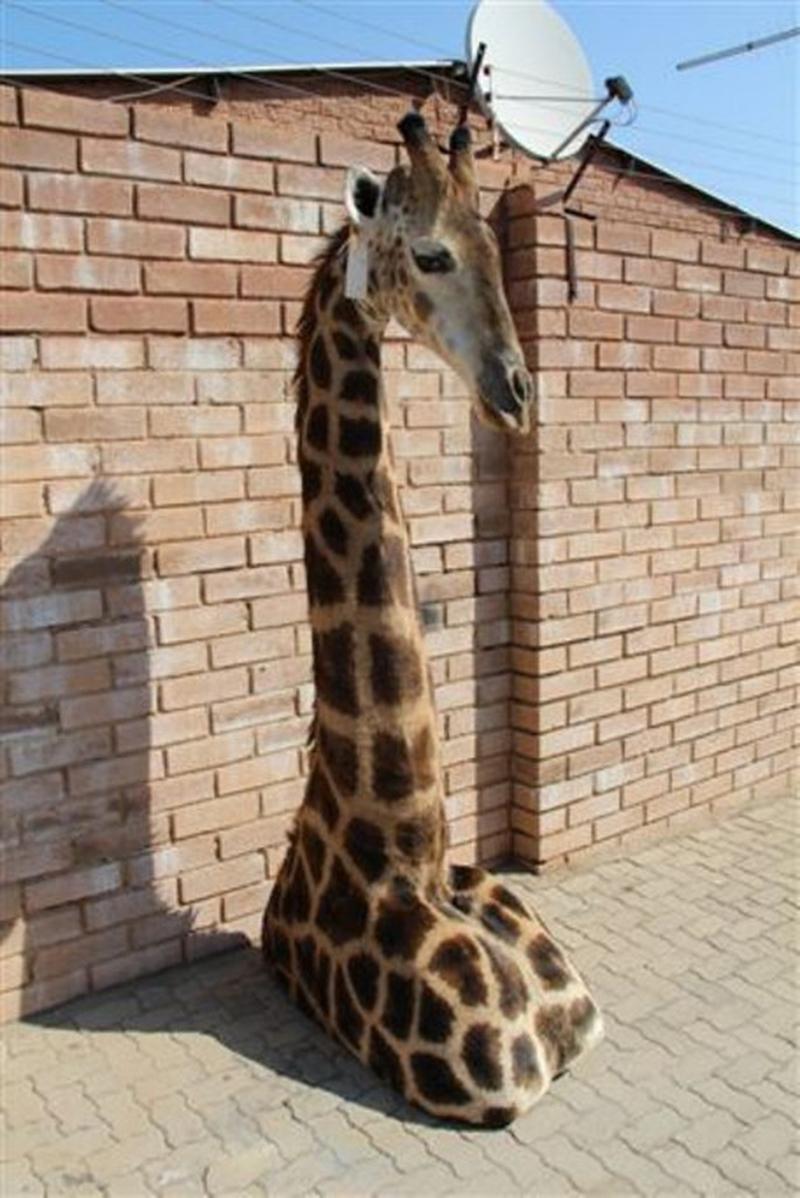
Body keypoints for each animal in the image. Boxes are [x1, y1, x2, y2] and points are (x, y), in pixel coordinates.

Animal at [262, 111, 603, 1126]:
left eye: (497, 248)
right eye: (431, 254)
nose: (518, 394)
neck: (407, 855)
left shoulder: (578, 1017)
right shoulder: (496, 1083)